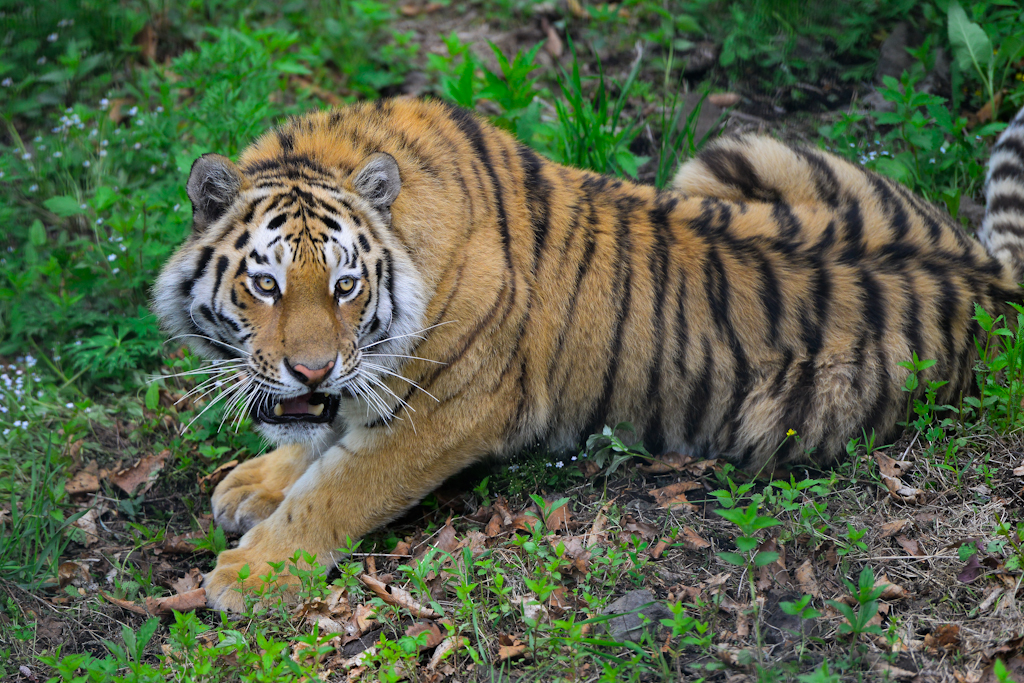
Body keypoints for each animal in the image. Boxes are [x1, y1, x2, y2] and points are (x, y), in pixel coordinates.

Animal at [153, 97, 1024, 614]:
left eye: (345, 286)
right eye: (265, 284)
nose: (311, 369)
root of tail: (987, 271)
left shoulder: (449, 409)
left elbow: (339, 489)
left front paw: (247, 573)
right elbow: (320, 445)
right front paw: (255, 481)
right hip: (733, 155)